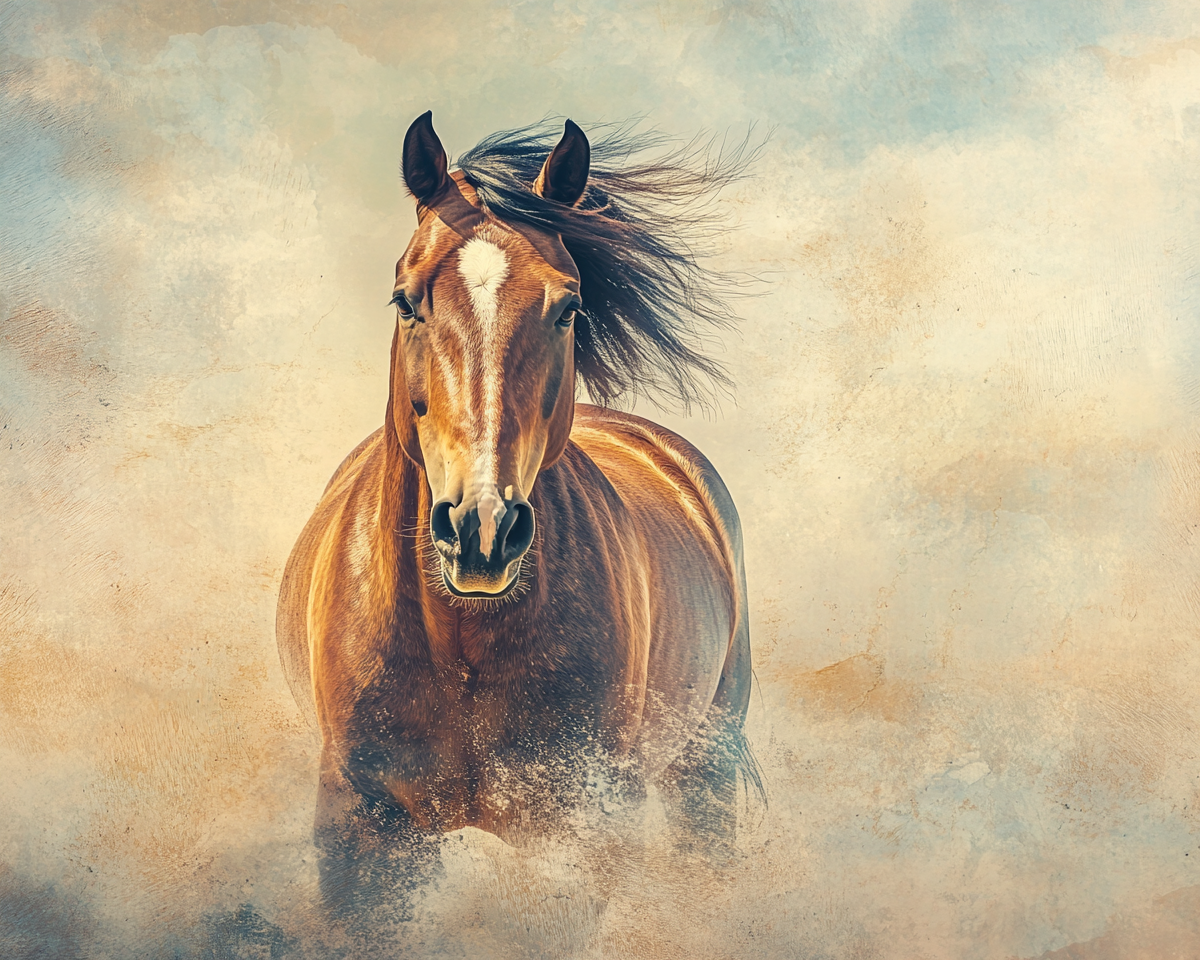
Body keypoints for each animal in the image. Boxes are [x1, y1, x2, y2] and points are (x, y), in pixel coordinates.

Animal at [276, 112, 763, 916]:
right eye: (405, 300)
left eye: (568, 306)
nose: (483, 531)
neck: (460, 645)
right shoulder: (361, 839)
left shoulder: (574, 836)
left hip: (704, 768)